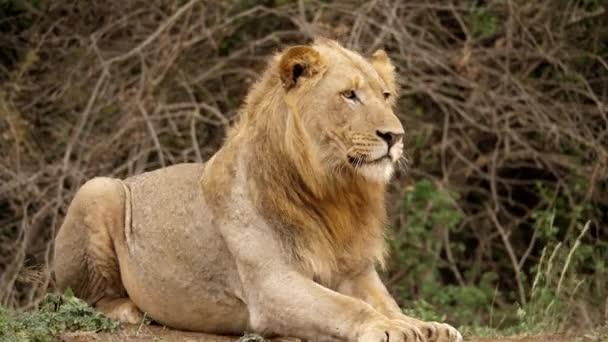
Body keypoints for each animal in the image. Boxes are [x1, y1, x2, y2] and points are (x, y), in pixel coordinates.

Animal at [53, 38, 460, 342]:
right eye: (349, 95)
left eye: (386, 95)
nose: (395, 136)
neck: (333, 192)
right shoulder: (271, 285)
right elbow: (348, 307)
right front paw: (387, 327)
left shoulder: (354, 270)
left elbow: (386, 302)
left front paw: (425, 326)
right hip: (98, 188)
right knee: (83, 297)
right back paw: (129, 309)